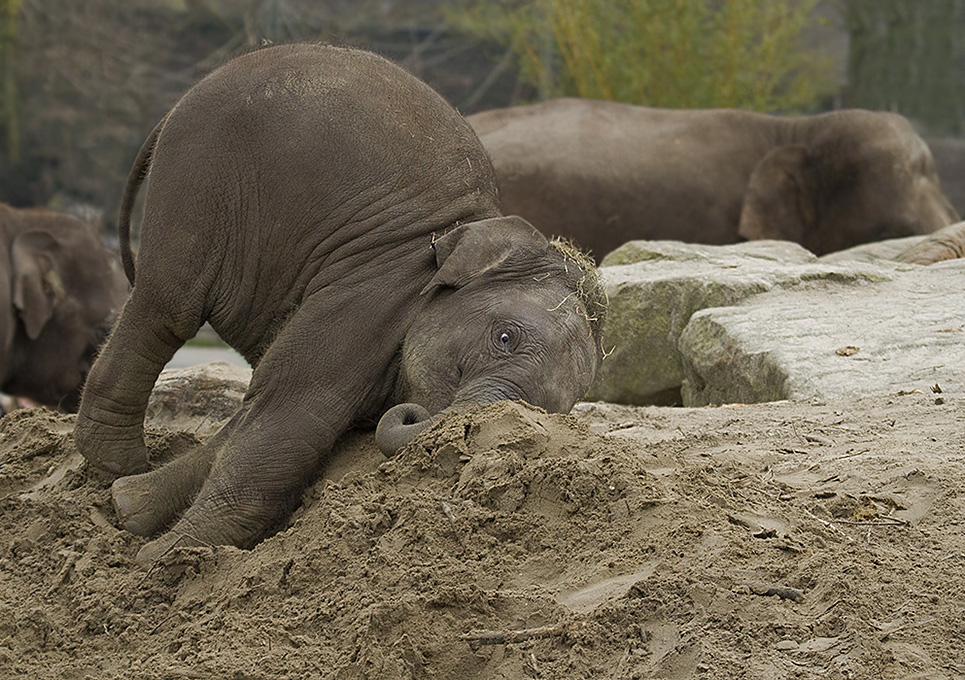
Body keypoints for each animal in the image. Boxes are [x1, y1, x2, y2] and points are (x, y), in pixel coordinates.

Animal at [75, 43, 608, 568]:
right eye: (504, 337)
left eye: (544, 410)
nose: (414, 414)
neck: (465, 227)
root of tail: (183, 100)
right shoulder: (368, 299)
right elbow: (289, 415)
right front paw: (156, 562)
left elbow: (256, 419)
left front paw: (133, 512)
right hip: (201, 174)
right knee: (169, 306)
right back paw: (112, 464)